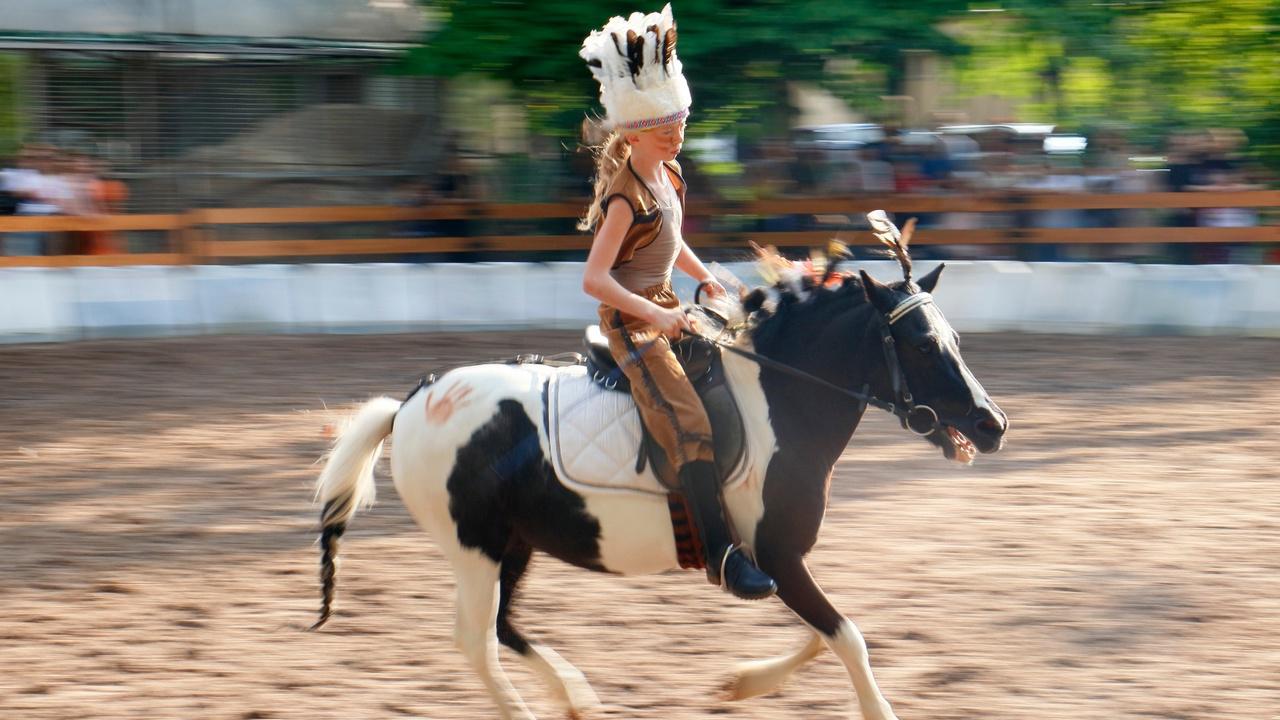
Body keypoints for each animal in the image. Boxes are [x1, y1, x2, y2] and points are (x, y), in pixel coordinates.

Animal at [312, 249, 1008, 712]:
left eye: (952, 337)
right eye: (921, 344)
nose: (991, 423)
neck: (777, 401)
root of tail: (412, 403)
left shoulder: (781, 560)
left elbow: (825, 635)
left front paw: (741, 683)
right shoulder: (776, 558)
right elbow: (848, 638)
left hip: (514, 544)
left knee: (504, 630)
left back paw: (576, 698)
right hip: (475, 548)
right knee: (477, 642)